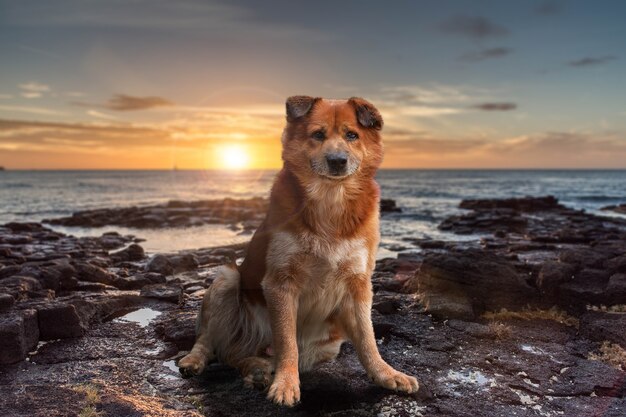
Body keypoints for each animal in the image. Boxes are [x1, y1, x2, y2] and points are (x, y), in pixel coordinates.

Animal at [177, 96, 420, 404]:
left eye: (352, 135)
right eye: (318, 134)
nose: (337, 161)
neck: (331, 199)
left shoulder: (358, 285)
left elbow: (367, 339)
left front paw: (385, 373)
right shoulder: (280, 283)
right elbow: (287, 341)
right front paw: (285, 384)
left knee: (237, 356)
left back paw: (257, 371)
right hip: (226, 280)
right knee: (212, 342)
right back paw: (196, 361)